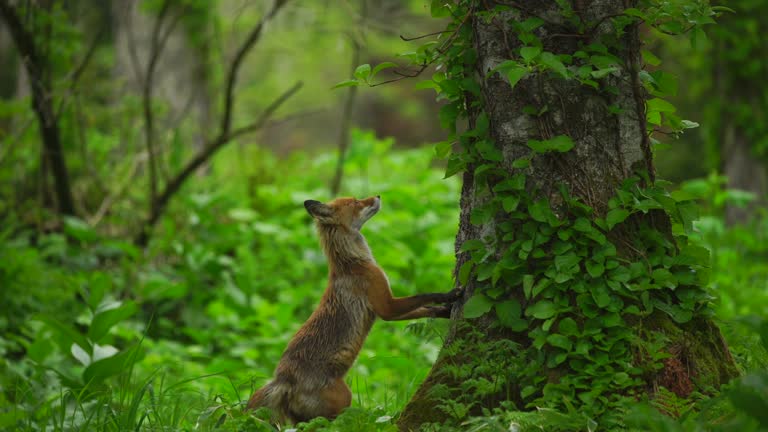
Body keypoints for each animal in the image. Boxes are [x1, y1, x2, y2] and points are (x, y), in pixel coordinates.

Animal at [249, 197, 460, 426]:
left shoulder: (383, 311)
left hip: (301, 420)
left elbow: (424, 309)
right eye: (356, 202)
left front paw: (446, 311)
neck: (353, 262)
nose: (378, 196)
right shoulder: (387, 306)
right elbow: (423, 296)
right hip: (343, 398)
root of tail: (283, 379)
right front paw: (451, 294)